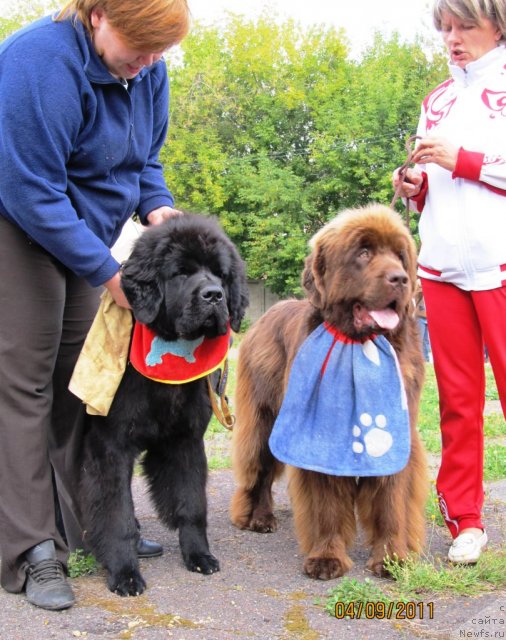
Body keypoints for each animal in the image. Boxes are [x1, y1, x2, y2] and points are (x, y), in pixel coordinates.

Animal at [78, 214, 249, 596]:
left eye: (219, 273)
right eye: (181, 273)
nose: (214, 295)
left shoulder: (184, 440)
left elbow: (191, 503)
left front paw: (198, 555)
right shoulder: (110, 446)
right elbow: (117, 514)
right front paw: (124, 572)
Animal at [231, 205, 428, 580]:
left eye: (400, 256)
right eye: (363, 253)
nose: (400, 279)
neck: (359, 344)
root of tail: (266, 315)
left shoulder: (398, 432)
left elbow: (391, 502)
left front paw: (391, 558)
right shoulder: (319, 435)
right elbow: (326, 504)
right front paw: (326, 558)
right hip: (264, 418)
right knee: (258, 470)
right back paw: (257, 517)